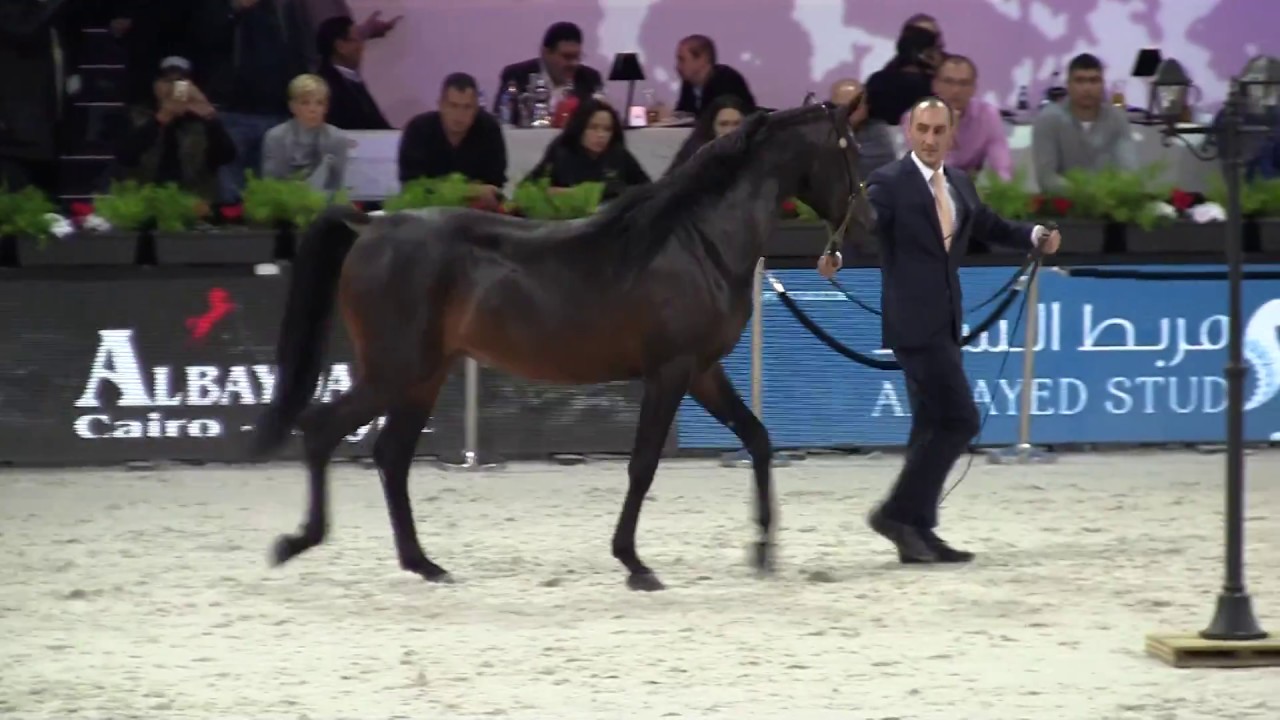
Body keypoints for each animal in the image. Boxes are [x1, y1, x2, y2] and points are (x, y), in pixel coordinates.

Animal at [249, 99, 875, 591]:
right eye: (850, 149)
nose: (867, 222)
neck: (698, 241)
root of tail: (370, 226)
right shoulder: (670, 372)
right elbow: (643, 464)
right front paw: (634, 563)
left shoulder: (703, 371)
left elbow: (759, 440)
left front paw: (764, 552)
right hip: (394, 371)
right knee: (322, 430)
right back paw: (296, 542)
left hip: (424, 376)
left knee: (390, 457)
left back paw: (424, 564)